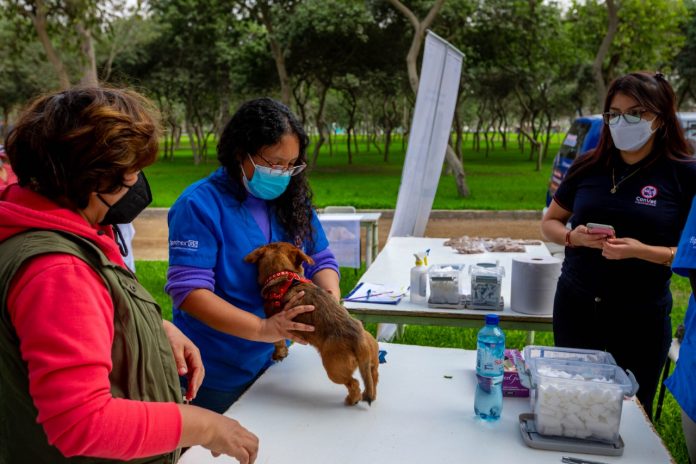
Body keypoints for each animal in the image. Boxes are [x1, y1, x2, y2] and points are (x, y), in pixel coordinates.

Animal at [242, 241, 378, 404]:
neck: (283, 274)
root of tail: (359, 340)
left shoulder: (274, 321)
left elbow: (277, 341)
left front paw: (279, 353)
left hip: (334, 369)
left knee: (353, 383)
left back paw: (352, 399)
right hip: (371, 359)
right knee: (373, 375)